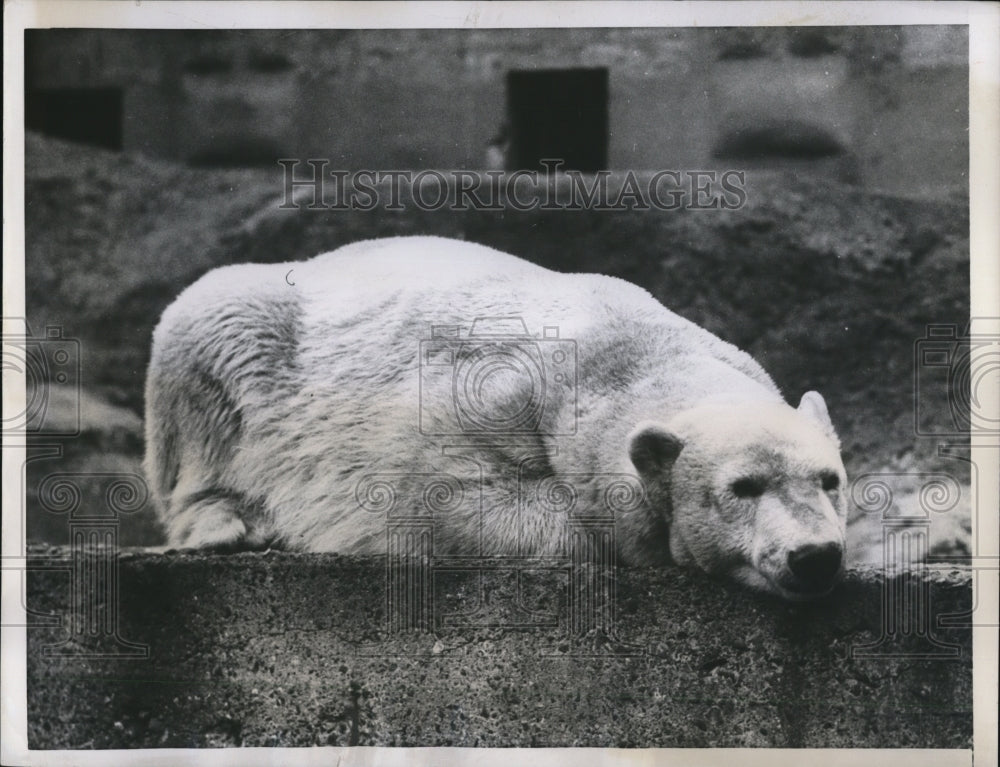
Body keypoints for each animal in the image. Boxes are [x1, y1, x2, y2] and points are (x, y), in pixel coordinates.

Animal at [145, 235, 848, 600]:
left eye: (830, 480)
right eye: (742, 487)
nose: (816, 555)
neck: (619, 353)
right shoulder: (483, 399)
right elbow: (444, 497)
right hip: (239, 337)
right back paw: (229, 523)